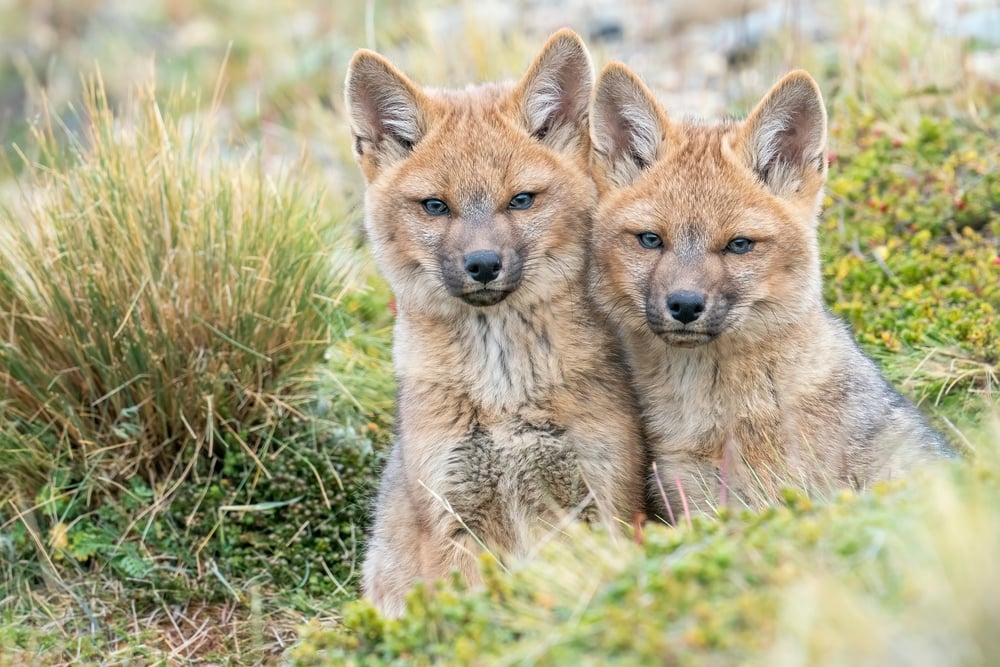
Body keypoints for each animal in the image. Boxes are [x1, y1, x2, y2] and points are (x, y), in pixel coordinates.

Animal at [344, 30, 645, 617]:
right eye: (435, 206)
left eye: (521, 200)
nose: (482, 264)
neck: (503, 390)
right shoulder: (454, 519)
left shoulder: (601, 495)